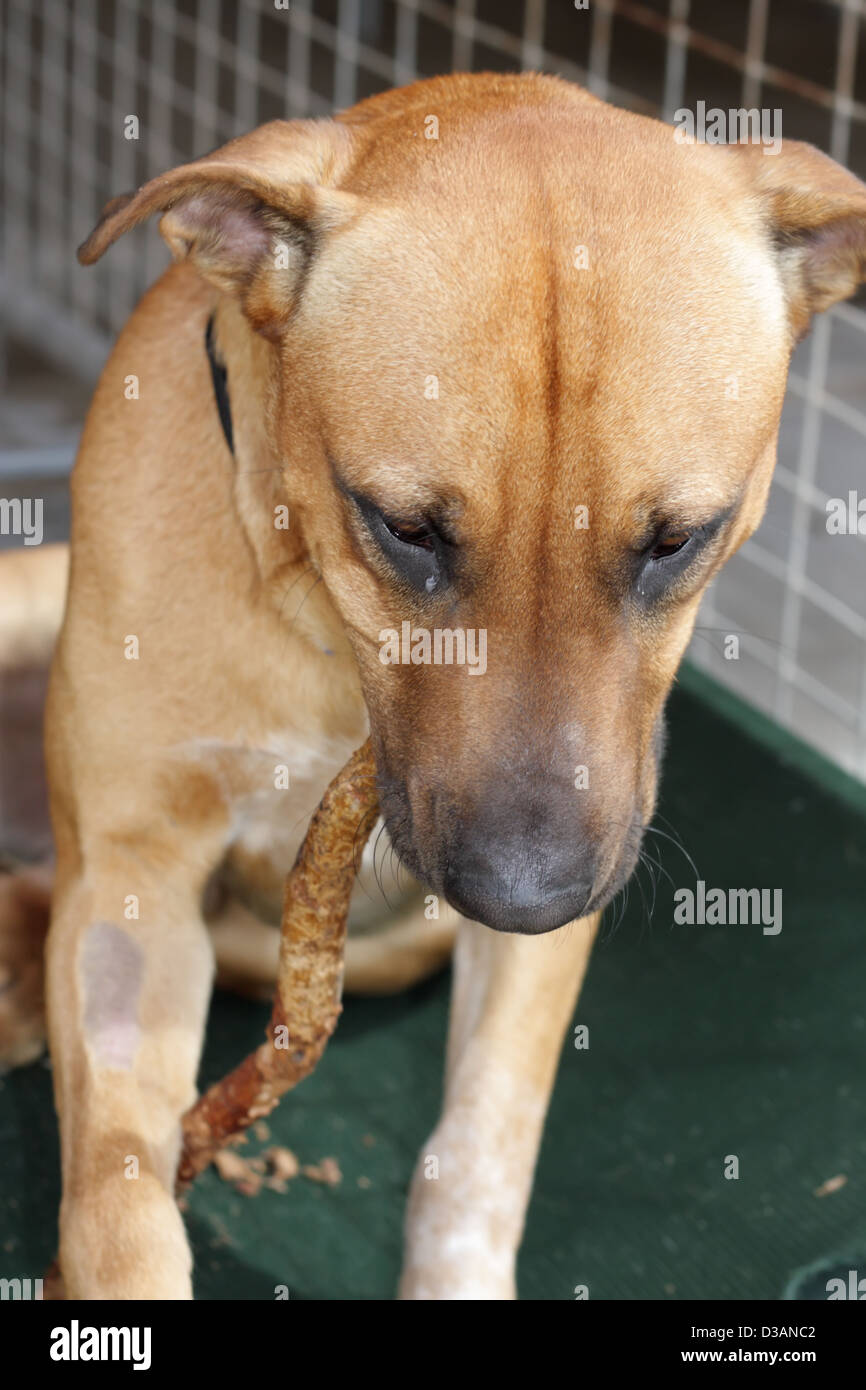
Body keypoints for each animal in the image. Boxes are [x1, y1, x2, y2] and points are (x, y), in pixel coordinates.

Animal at [5, 70, 866, 1295]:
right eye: (404, 528)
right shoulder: (132, 880)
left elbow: (478, 1150)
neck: (323, 635)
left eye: (676, 541)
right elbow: (119, 1197)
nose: (527, 895)